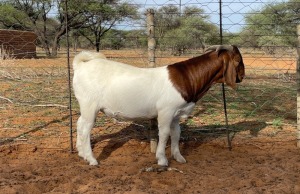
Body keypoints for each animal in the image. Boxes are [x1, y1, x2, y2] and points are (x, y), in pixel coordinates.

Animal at [74, 45, 245, 165]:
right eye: (237, 60)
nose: (242, 76)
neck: (187, 78)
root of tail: (81, 65)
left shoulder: (176, 114)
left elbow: (176, 133)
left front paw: (178, 157)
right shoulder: (166, 111)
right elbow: (164, 133)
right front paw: (162, 159)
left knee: (79, 124)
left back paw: (81, 153)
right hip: (89, 104)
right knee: (86, 128)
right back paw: (91, 159)